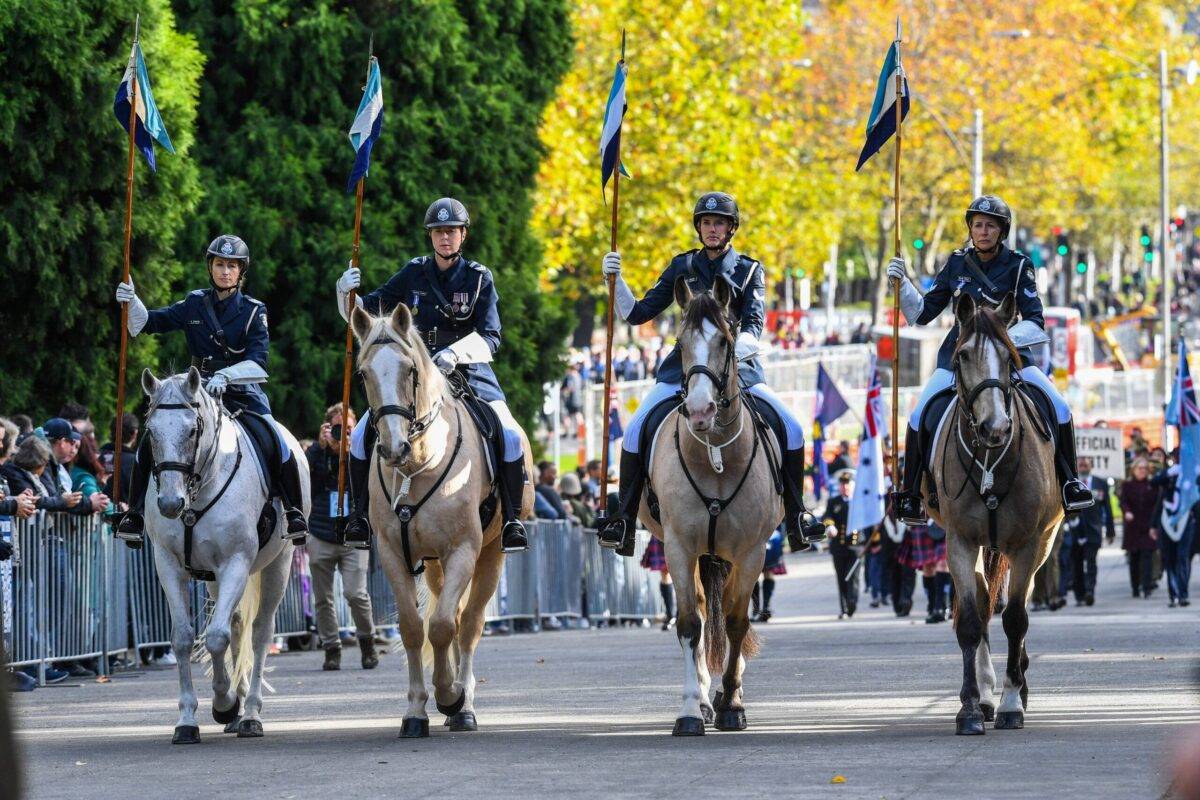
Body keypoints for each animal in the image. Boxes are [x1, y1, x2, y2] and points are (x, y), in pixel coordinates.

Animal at [141, 369, 309, 743]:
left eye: (192, 430)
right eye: (151, 432)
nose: (170, 504)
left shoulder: (235, 562)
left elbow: (216, 637)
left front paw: (224, 703)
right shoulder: (169, 565)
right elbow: (184, 638)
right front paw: (187, 720)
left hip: (278, 564)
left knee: (259, 632)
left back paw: (250, 714)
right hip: (215, 579)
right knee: (237, 625)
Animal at [348, 304, 535, 738]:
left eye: (409, 370)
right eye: (363, 373)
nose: (393, 447)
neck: (417, 463)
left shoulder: (462, 552)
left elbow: (445, 626)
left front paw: (451, 696)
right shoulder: (393, 555)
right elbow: (415, 628)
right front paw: (417, 710)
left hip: (490, 556)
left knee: (469, 624)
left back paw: (463, 704)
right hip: (433, 565)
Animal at [643, 281, 782, 738]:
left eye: (726, 340)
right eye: (679, 343)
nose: (700, 411)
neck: (716, 454)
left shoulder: (752, 551)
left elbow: (738, 622)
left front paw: (733, 704)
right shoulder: (679, 548)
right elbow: (690, 623)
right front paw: (690, 709)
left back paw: (724, 694)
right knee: (705, 614)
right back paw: (706, 697)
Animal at [921, 292, 1065, 734]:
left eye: (1009, 355)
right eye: (963, 354)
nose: (995, 428)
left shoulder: (1028, 543)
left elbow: (1016, 618)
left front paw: (1012, 703)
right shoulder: (960, 541)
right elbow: (971, 619)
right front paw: (971, 707)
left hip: (1043, 542)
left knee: (1022, 600)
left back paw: (1017, 686)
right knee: (985, 603)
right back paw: (985, 694)